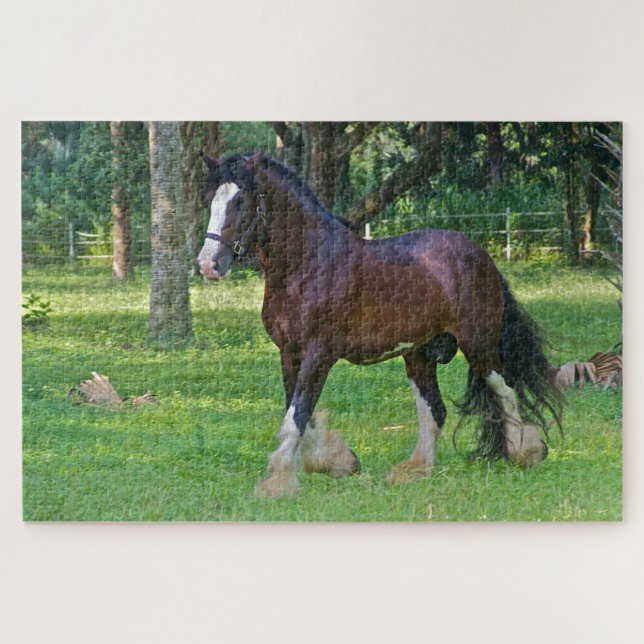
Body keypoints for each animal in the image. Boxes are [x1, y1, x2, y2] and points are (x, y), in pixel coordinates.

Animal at [197, 151, 563, 498]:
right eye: (210, 199)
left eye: (240, 200)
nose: (208, 265)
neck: (309, 266)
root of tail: (481, 256)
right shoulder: (289, 353)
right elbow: (300, 411)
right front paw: (335, 461)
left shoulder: (318, 354)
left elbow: (297, 415)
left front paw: (278, 483)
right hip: (419, 355)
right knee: (435, 410)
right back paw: (414, 470)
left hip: (479, 345)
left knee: (505, 392)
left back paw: (525, 452)